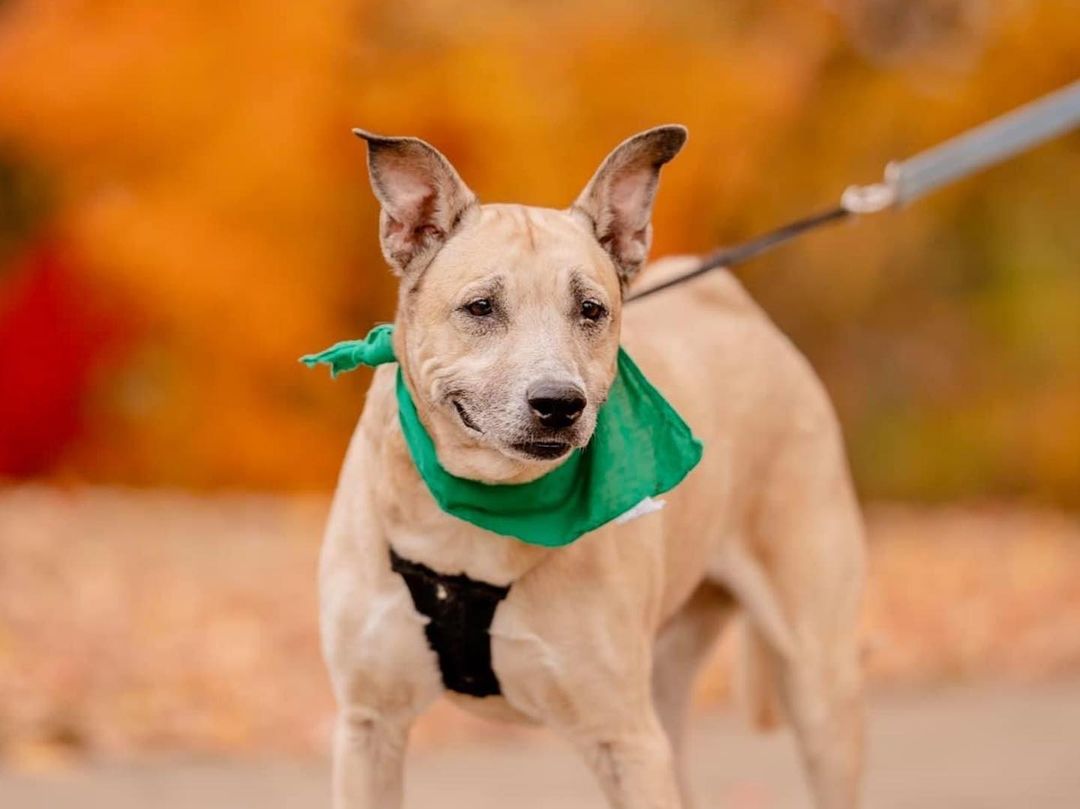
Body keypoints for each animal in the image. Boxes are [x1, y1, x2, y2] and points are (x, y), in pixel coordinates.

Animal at [315, 126, 864, 807]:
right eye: (481, 307)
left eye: (591, 310)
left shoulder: (626, 741)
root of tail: (732, 308)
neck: (480, 511)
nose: (559, 403)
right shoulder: (369, 727)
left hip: (817, 682)